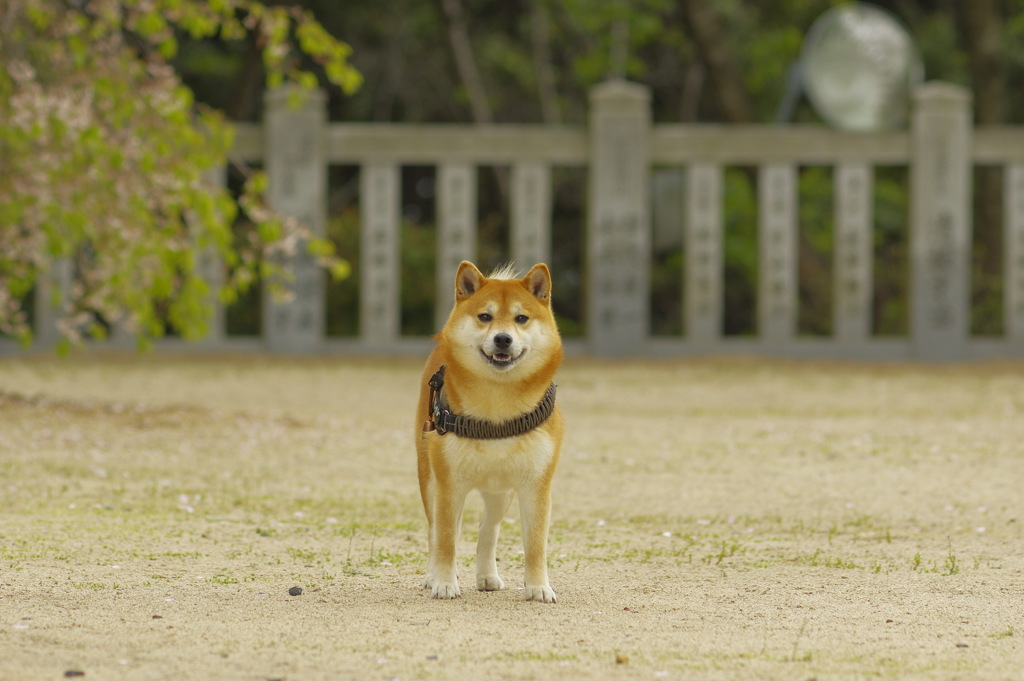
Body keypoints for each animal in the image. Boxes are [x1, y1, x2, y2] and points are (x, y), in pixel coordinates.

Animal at [415, 260, 565, 602]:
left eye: (521, 318)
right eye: (485, 316)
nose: (502, 339)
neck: (498, 409)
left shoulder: (537, 486)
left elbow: (535, 545)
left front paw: (539, 587)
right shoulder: (449, 484)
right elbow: (445, 539)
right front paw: (444, 582)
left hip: (501, 492)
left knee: (488, 530)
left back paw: (486, 576)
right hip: (430, 478)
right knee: (437, 532)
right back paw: (433, 575)